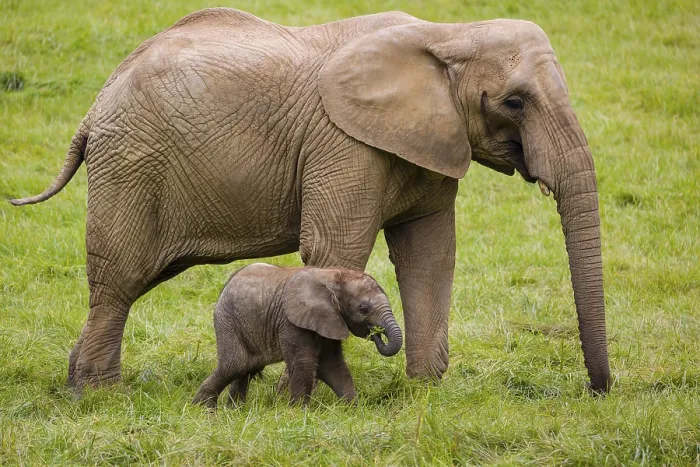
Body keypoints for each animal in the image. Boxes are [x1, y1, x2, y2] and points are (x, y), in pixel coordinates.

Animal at [10, 8, 611, 392]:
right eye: (514, 102)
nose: (597, 391)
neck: (448, 33)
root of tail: (95, 105)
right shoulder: (342, 143)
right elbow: (335, 248)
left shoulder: (433, 140)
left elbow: (430, 253)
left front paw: (425, 394)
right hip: (131, 164)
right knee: (118, 281)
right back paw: (99, 396)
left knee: (131, 283)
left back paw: (79, 384)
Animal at [192, 263, 402, 407]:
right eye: (363, 309)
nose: (376, 334)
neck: (333, 276)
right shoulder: (291, 321)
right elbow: (304, 363)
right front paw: (300, 414)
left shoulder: (330, 320)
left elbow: (333, 365)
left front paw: (353, 409)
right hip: (227, 320)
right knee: (236, 364)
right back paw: (203, 410)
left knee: (245, 368)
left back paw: (235, 411)